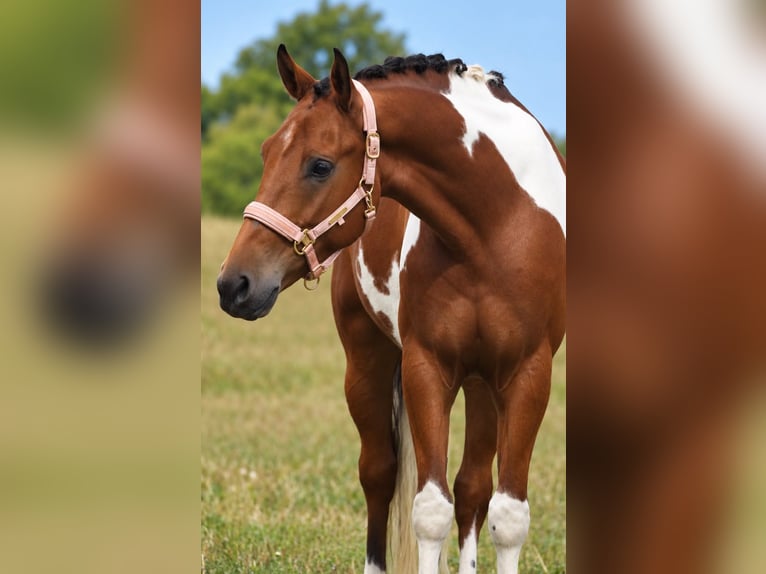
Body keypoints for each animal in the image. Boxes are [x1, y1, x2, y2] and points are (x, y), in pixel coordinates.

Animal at [217, 45, 566, 573]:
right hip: (367, 364)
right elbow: (430, 510)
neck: (499, 224)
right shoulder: (427, 368)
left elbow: (507, 515)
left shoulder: (527, 375)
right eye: (265, 152)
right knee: (379, 475)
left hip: (482, 383)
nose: (233, 284)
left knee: (473, 488)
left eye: (320, 165)